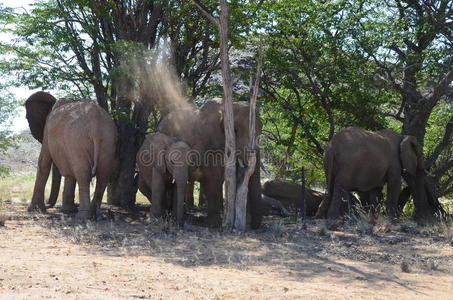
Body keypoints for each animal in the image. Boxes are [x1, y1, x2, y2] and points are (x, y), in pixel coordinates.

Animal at [25, 90, 117, 219]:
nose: (48, 204)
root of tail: (96, 121)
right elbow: (69, 173)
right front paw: (68, 210)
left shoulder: (47, 131)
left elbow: (43, 162)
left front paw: (33, 209)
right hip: (108, 140)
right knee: (103, 175)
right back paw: (94, 214)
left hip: (77, 140)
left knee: (83, 174)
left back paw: (83, 216)